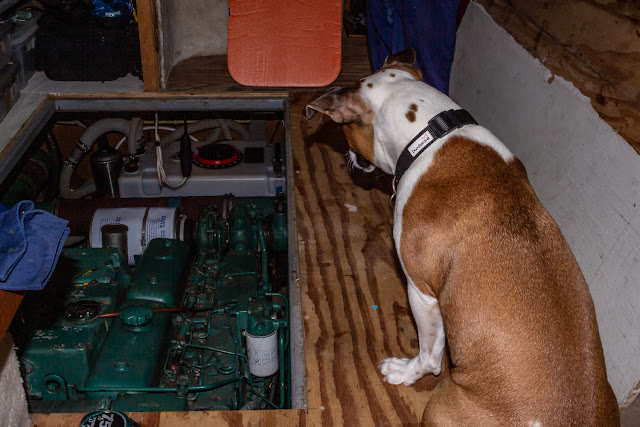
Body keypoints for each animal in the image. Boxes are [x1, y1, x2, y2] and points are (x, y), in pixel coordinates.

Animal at [304, 49, 620, 424]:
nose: (350, 159)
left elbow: (429, 353)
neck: (433, 134)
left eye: (346, 131)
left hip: (441, 404)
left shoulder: (422, 292)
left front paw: (406, 371)